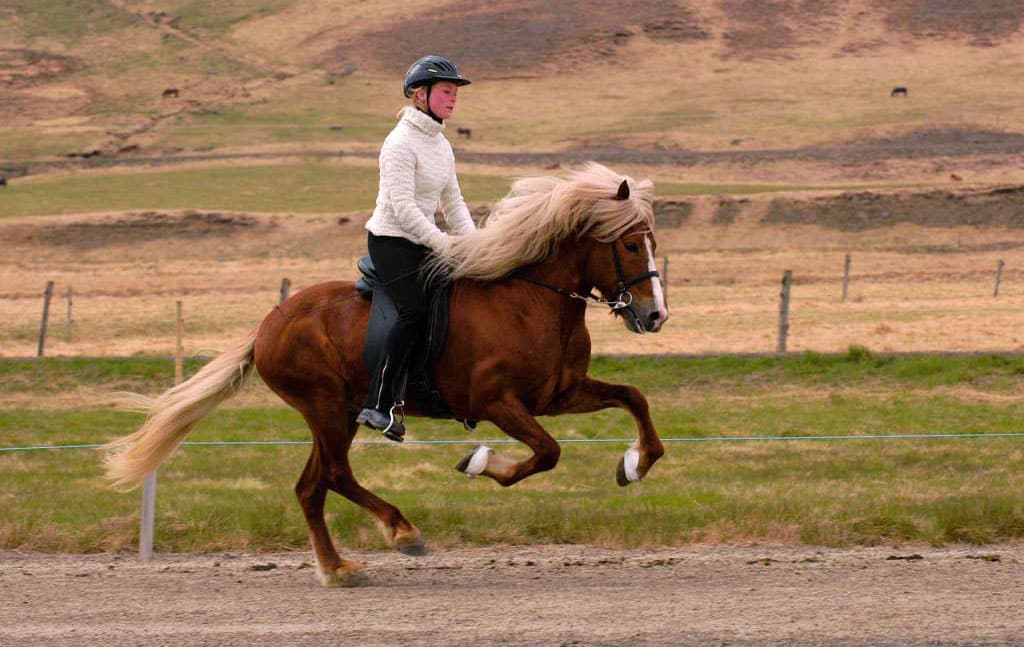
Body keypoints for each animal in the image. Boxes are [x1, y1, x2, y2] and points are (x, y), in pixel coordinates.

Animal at [105, 161, 671, 585]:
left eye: (652, 244)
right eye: (628, 245)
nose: (654, 316)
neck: (531, 301)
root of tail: (269, 322)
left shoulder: (559, 394)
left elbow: (634, 397)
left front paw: (634, 465)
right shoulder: (497, 403)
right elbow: (547, 453)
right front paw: (479, 462)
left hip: (338, 413)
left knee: (311, 486)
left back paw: (338, 569)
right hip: (327, 406)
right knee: (335, 476)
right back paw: (402, 532)